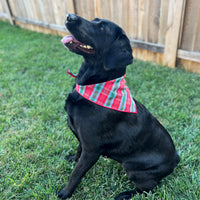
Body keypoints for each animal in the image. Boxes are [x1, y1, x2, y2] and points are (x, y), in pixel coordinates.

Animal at [57, 13, 180, 199]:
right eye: (94, 20)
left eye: (101, 28)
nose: (69, 16)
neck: (95, 87)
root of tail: (175, 160)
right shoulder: (83, 141)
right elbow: (78, 150)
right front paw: (73, 159)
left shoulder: (92, 150)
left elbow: (76, 174)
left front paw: (65, 193)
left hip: (133, 168)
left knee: (150, 188)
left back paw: (124, 194)